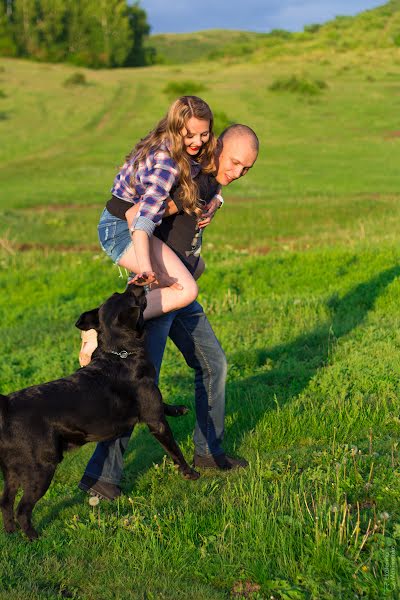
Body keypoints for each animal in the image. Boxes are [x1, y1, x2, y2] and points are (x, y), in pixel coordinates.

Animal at [0, 282, 200, 540]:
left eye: (119, 293)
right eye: (132, 296)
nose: (135, 283)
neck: (120, 353)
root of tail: (8, 405)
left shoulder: (152, 403)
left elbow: (164, 403)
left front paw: (178, 409)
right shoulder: (155, 421)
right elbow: (175, 450)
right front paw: (190, 473)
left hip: (12, 471)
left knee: (5, 502)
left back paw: (11, 532)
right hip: (40, 468)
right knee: (23, 508)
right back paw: (34, 536)